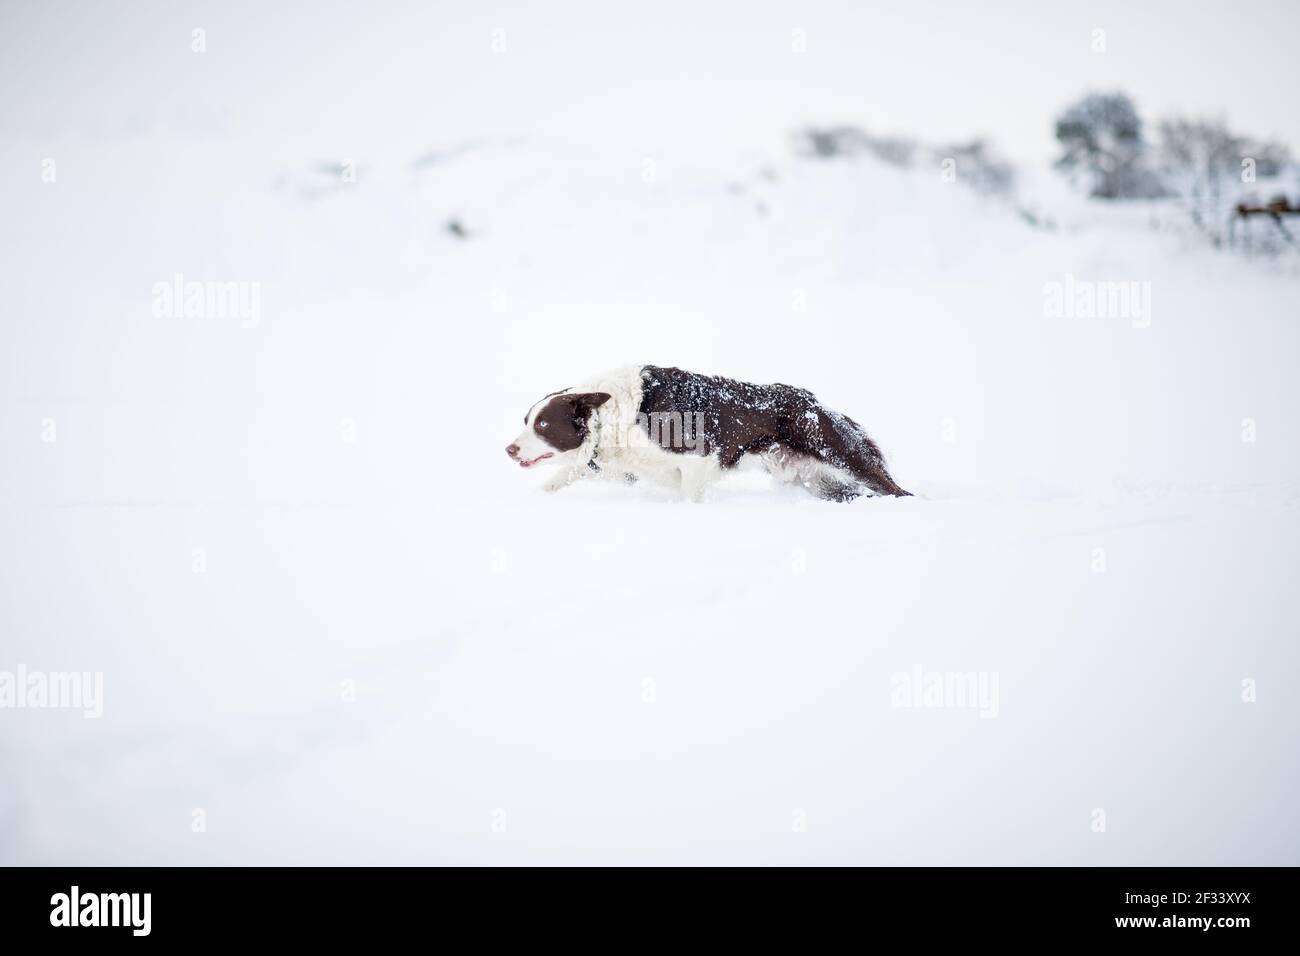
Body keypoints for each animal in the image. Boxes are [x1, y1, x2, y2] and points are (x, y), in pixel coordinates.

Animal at [501, 364, 909, 504]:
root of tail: (817, 402)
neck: (617, 415)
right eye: (526, 420)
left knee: (892, 487)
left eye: (542, 425)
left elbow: (689, 496)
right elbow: (571, 470)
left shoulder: (699, 460)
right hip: (813, 479)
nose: (508, 449)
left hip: (841, 453)